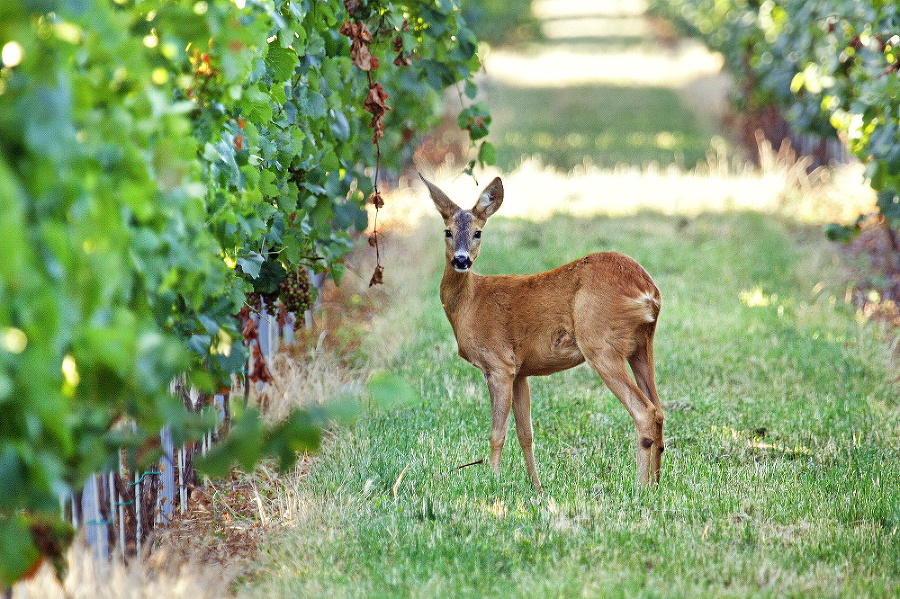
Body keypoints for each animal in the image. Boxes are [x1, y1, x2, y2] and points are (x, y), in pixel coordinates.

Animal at [420, 175, 660, 492]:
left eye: (477, 233)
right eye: (447, 231)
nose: (461, 260)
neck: (470, 303)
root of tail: (648, 291)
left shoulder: (498, 364)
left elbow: (497, 432)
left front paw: (493, 481)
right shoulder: (520, 370)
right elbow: (526, 433)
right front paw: (536, 485)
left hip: (600, 342)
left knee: (644, 411)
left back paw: (640, 487)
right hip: (642, 343)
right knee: (659, 409)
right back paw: (658, 482)